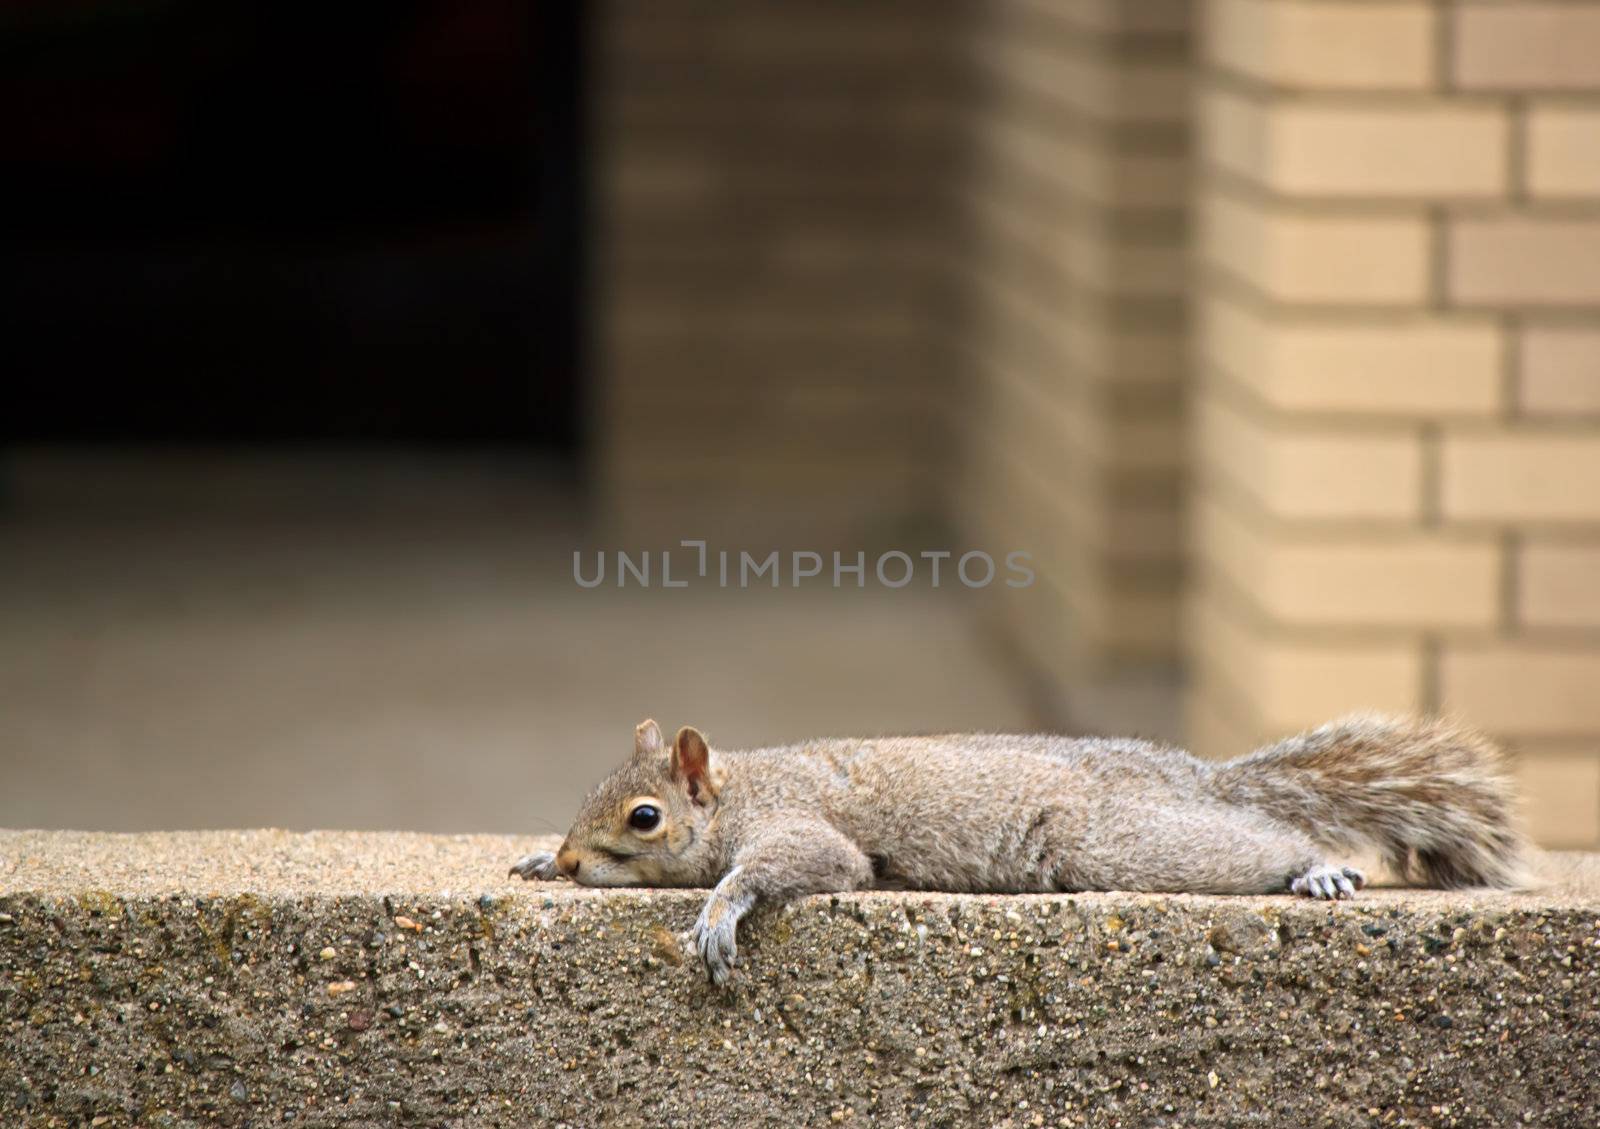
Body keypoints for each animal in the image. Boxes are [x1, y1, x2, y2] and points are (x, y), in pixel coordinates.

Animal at [508, 716, 1523, 978]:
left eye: (643, 817)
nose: (572, 861)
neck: (741, 790)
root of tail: (1195, 777)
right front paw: (533, 860)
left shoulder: (805, 829)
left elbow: (802, 866)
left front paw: (722, 908)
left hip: (1128, 841)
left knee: (1258, 838)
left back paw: (1313, 865)